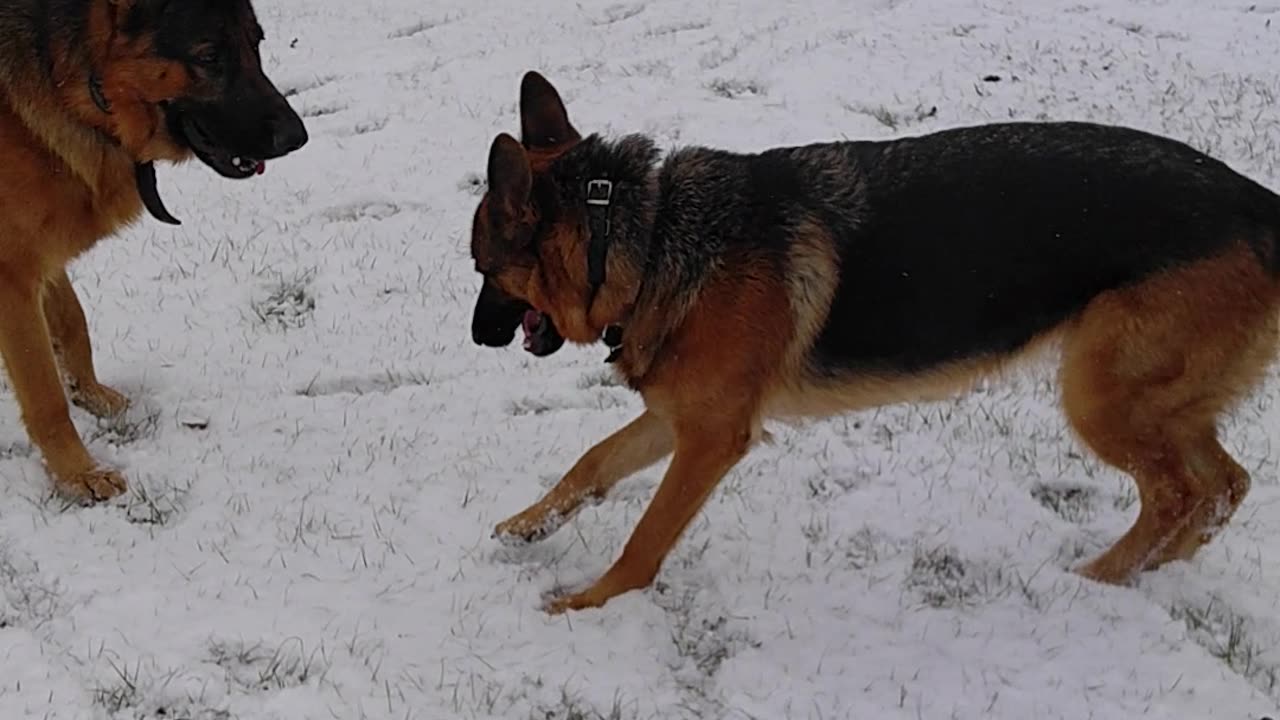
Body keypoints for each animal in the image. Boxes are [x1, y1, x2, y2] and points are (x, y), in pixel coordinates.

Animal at [0, 0, 307, 502]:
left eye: (256, 43)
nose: (297, 138)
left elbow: (72, 322)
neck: (77, 82)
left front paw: (89, 392)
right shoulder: (14, 277)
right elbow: (45, 396)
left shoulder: (39, 257)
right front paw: (77, 473)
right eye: (208, 57)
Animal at [473, 71, 1280, 609]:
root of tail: (1258, 202)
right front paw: (525, 528)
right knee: (1222, 485)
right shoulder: (680, 418)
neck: (644, 233)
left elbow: (644, 540)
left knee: (1179, 493)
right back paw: (1154, 575)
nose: (478, 337)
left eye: (483, 268)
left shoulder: (710, 439)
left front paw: (586, 603)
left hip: (1101, 397)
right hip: (1154, 402)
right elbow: (590, 464)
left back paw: (1100, 583)